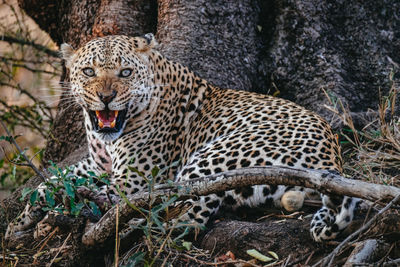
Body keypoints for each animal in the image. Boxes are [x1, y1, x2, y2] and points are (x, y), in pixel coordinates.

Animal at [4, 33, 360, 243]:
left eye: (125, 73)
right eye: (89, 72)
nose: (106, 97)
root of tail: (332, 162)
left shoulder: (133, 177)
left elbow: (71, 188)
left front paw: (43, 217)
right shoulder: (97, 163)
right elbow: (50, 182)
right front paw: (21, 220)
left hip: (208, 162)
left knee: (187, 212)